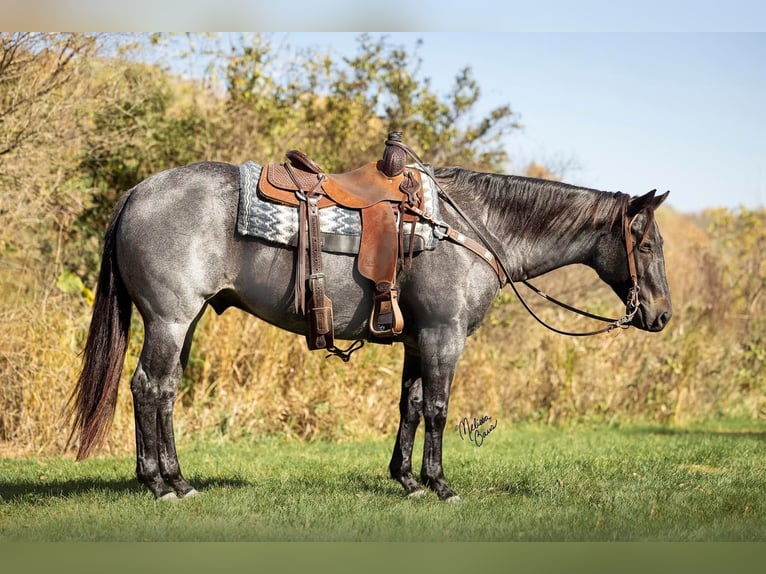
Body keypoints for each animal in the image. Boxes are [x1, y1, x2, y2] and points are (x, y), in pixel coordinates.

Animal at [70, 160, 672, 502]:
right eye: (646, 245)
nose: (662, 315)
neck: (470, 229)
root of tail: (138, 193)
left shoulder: (419, 339)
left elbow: (410, 406)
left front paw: (406, 480)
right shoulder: (444, 336)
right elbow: (438, 410)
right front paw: (440, 484)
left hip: (183, 321)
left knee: (165, 391)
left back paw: (175, 479)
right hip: (170, 319)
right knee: (149, 388)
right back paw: (158, 483)